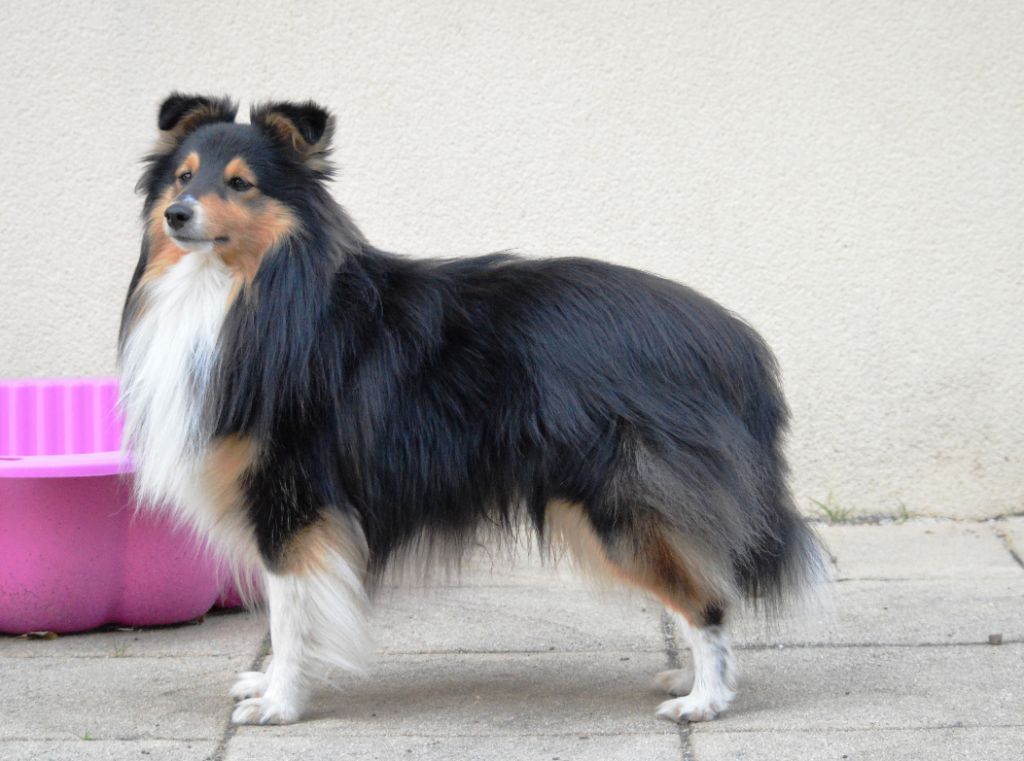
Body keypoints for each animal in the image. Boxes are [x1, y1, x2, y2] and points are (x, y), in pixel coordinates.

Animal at [117, 93, 823, 725]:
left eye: (241, 184)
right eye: (184, 175)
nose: (177, 214)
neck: (250, 288)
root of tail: (732, 342)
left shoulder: (293, 502)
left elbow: (291, 616)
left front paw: (279, 704)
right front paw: (267, 685)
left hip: (620, 503)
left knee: (709, 600)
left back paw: (704, 700)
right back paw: (691, 679)